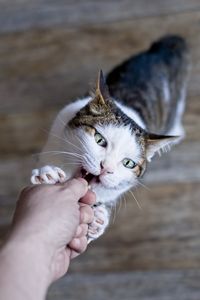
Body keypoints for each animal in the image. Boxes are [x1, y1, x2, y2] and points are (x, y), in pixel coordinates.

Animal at [30, 35, 190, 243]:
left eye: (128, 163)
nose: (105, 168)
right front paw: (47, 175)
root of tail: (165, 48)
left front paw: (98, 218)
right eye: (99, 139)